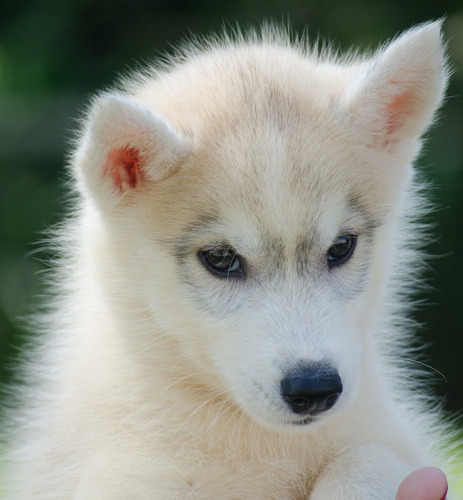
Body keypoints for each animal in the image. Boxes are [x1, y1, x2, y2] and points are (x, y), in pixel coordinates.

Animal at [0, 20, 456, 500]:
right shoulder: (120, 473)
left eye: (341, 247)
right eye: (220, 258)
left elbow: (366, 461)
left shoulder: (392, 443)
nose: (314, 388)